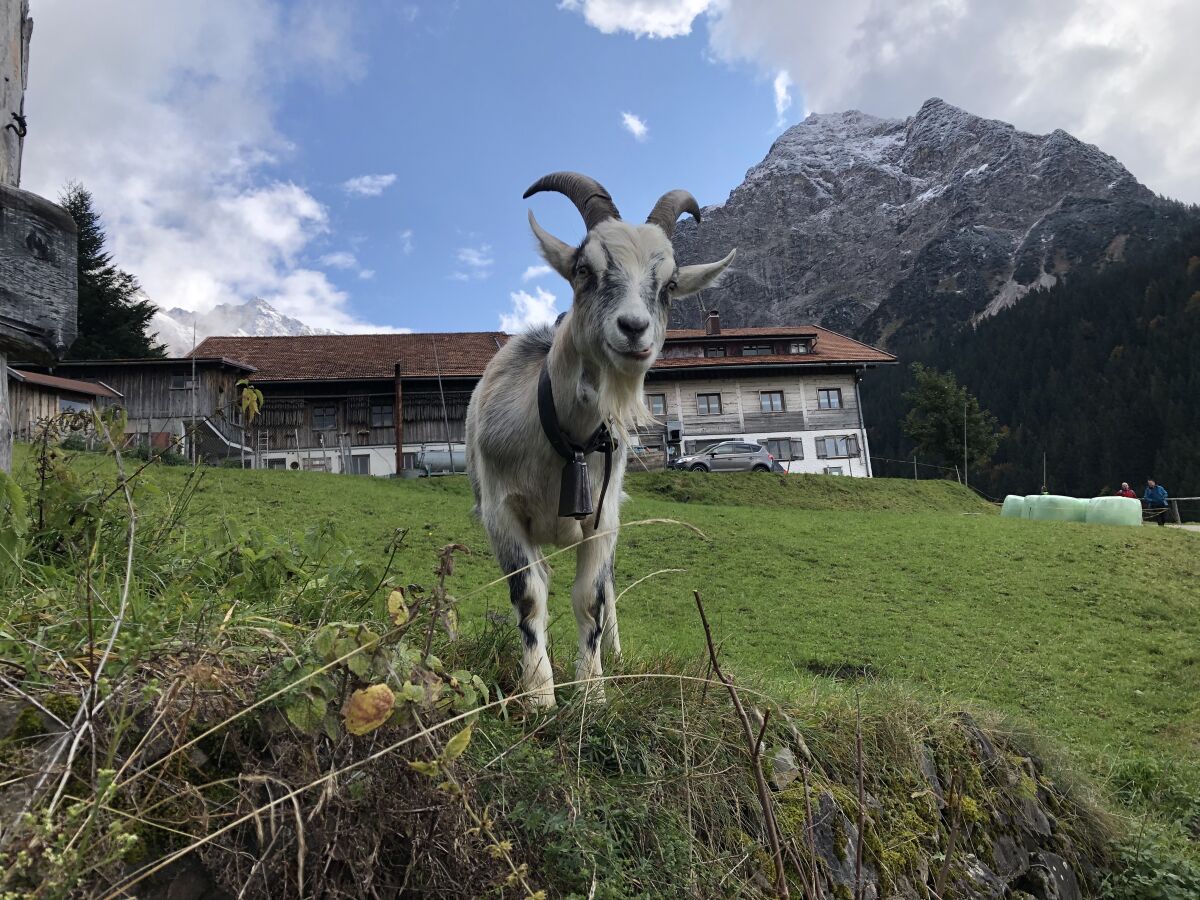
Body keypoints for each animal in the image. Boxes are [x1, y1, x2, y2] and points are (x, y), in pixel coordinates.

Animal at [465, 172, 729, 710]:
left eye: (670, 285)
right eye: (584, 269)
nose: (634, 329)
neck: (563, 441)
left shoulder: (602, 520)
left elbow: (591, 600)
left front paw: (593, 693)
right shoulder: (502, 513)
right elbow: (529, 595)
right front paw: (540, 695)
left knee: (607, 591)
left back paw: (617, 656)